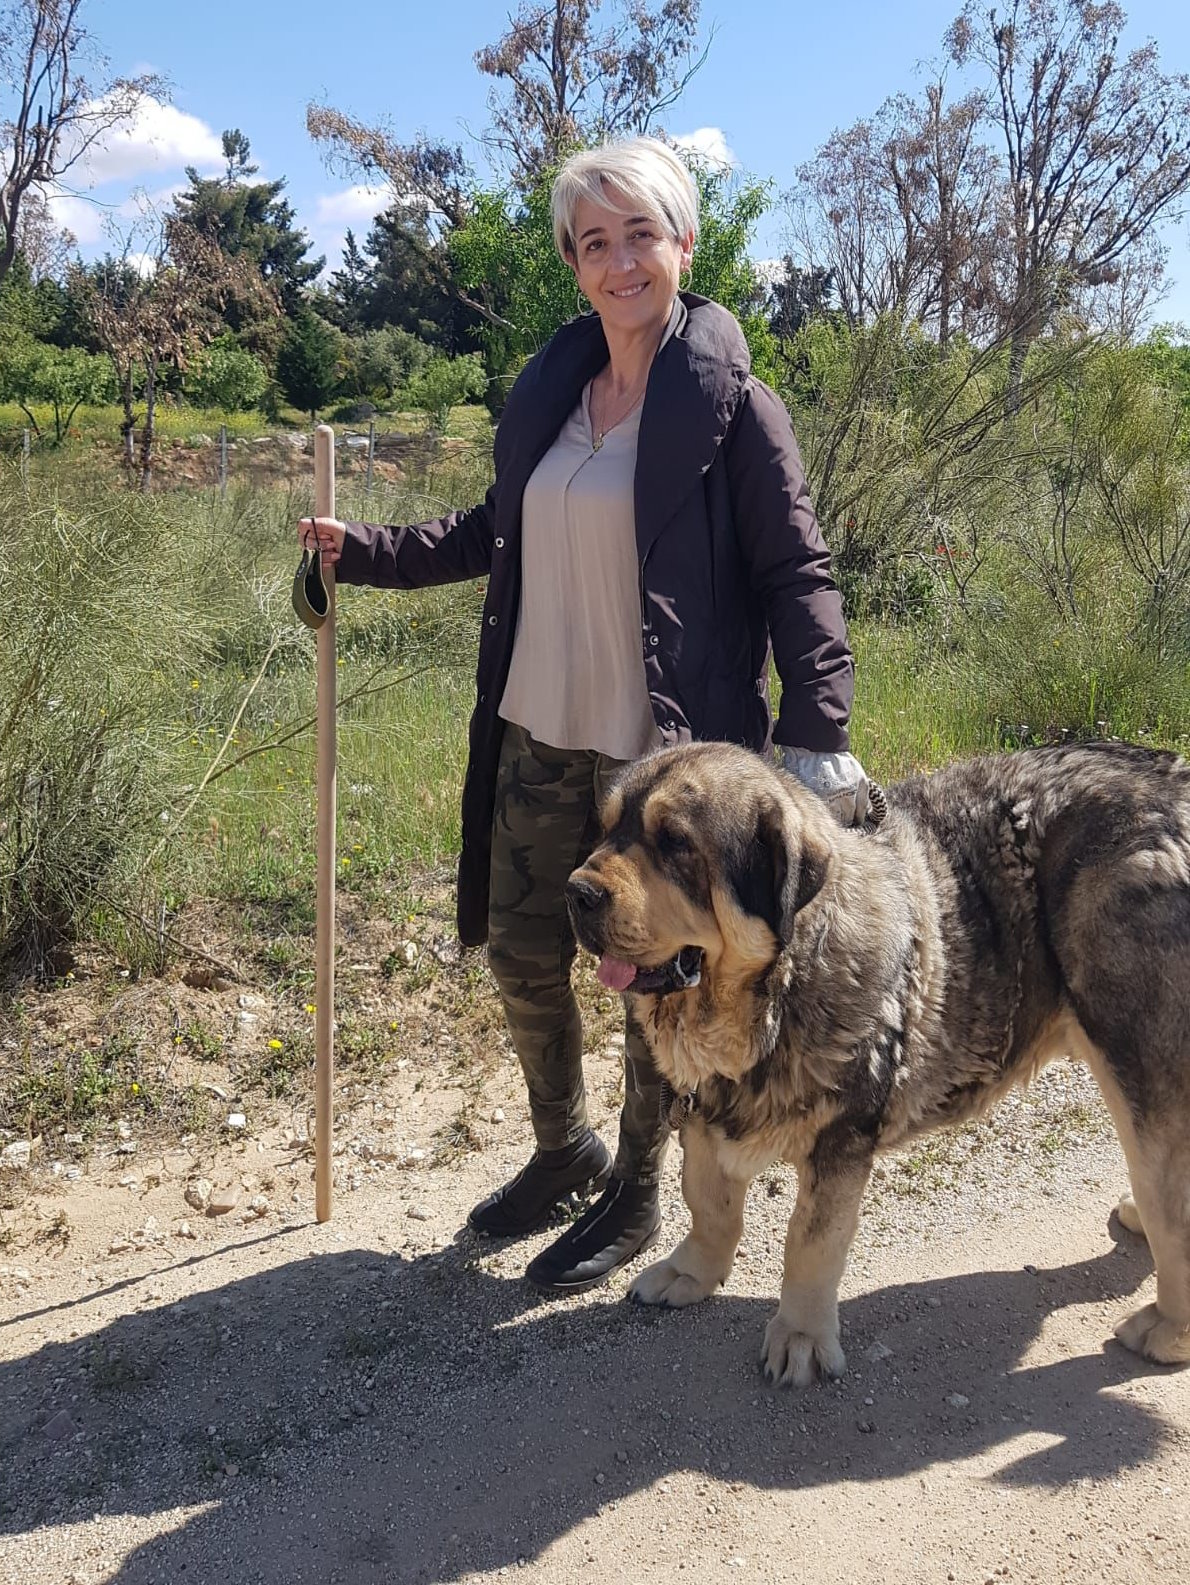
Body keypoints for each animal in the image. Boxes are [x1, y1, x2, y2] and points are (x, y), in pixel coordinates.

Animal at [567, 741, 1190, 1388]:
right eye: (607, 829)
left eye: (674, 843)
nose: (576, 892)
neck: (775, 993)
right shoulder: (702, 1109)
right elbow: (708, 1202)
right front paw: (692, 1273)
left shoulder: (840, 1139)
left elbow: (809, 1244)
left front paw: (800, 1335)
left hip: (1138, 1062)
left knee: (1170, 1200)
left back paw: (1168, 1329)